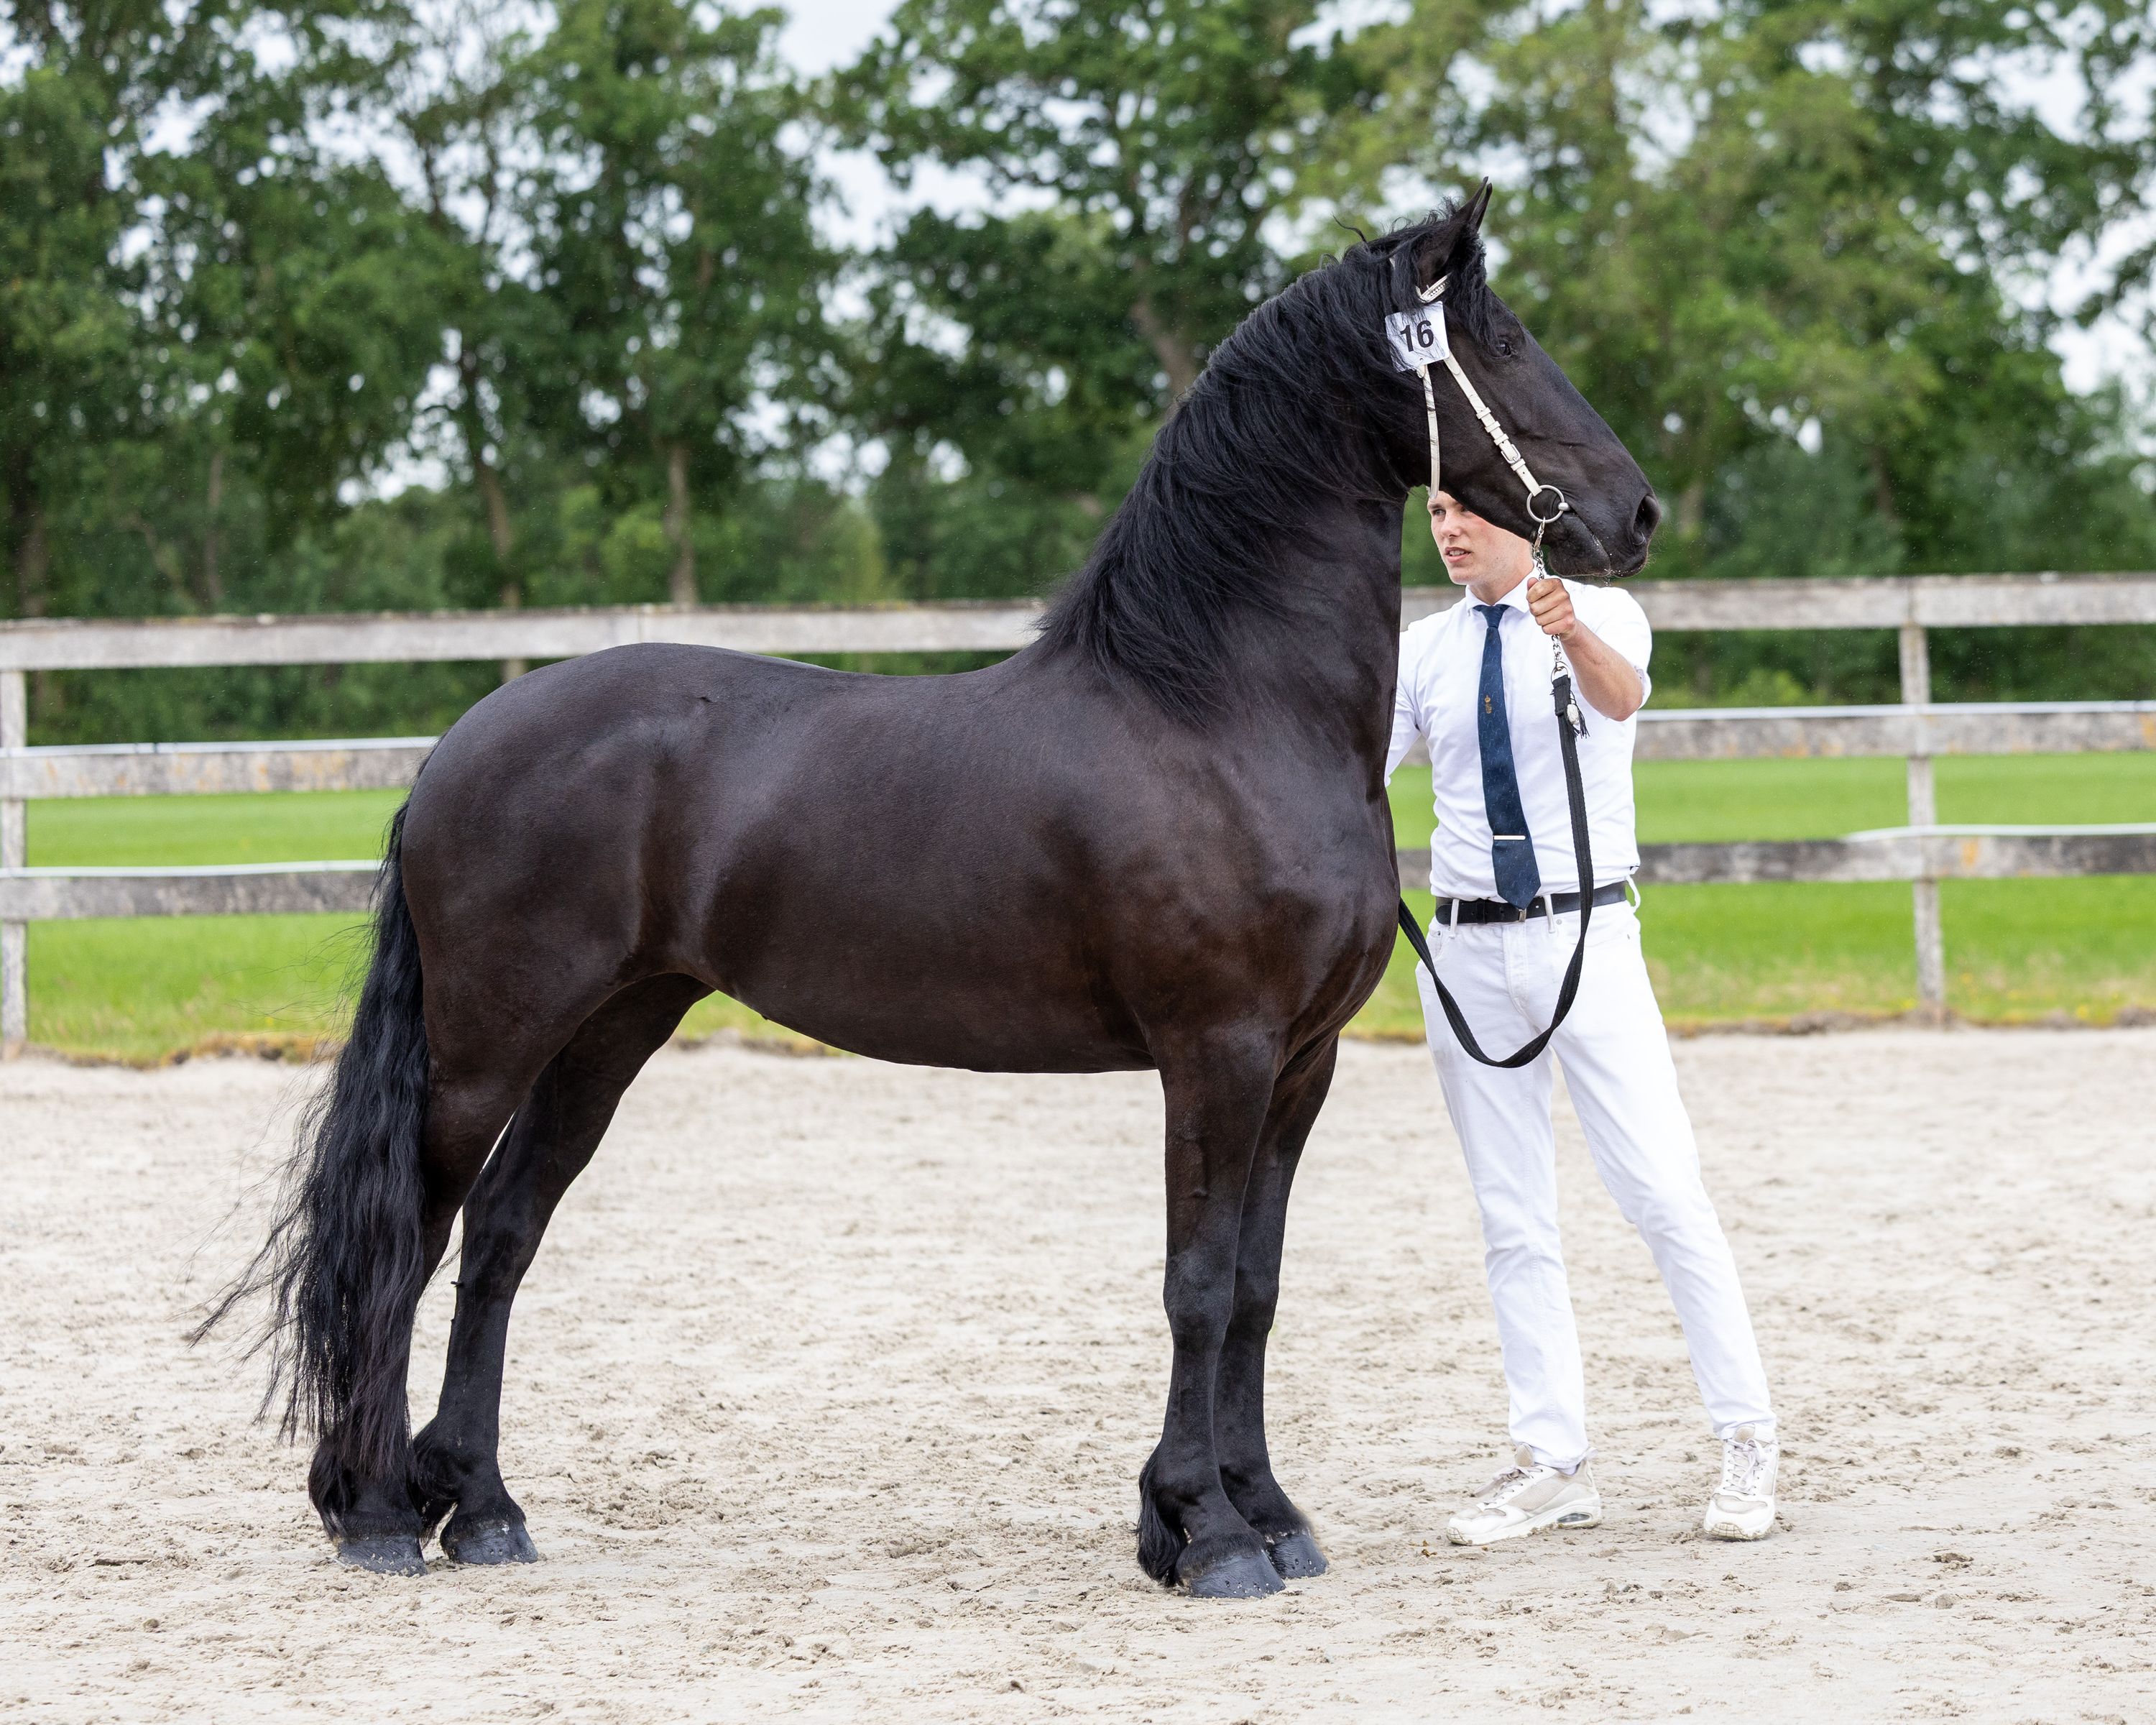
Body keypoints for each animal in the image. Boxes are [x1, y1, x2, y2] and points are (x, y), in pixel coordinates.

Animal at [209, 184, 1658, 1599]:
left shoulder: (1303, 1064)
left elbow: (1255, 1287)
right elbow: (1195, 1285)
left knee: (503, 1237)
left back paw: (485, 1509)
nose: (1635, 514)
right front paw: (1205, 1533)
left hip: (612, 1027)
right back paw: (379, 1511)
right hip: (487, 1045)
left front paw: (1264, 1515)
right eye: (1502, 341)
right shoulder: (1219, 1053)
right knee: (409, 1241)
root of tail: (457, 747)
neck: (1223, 713)